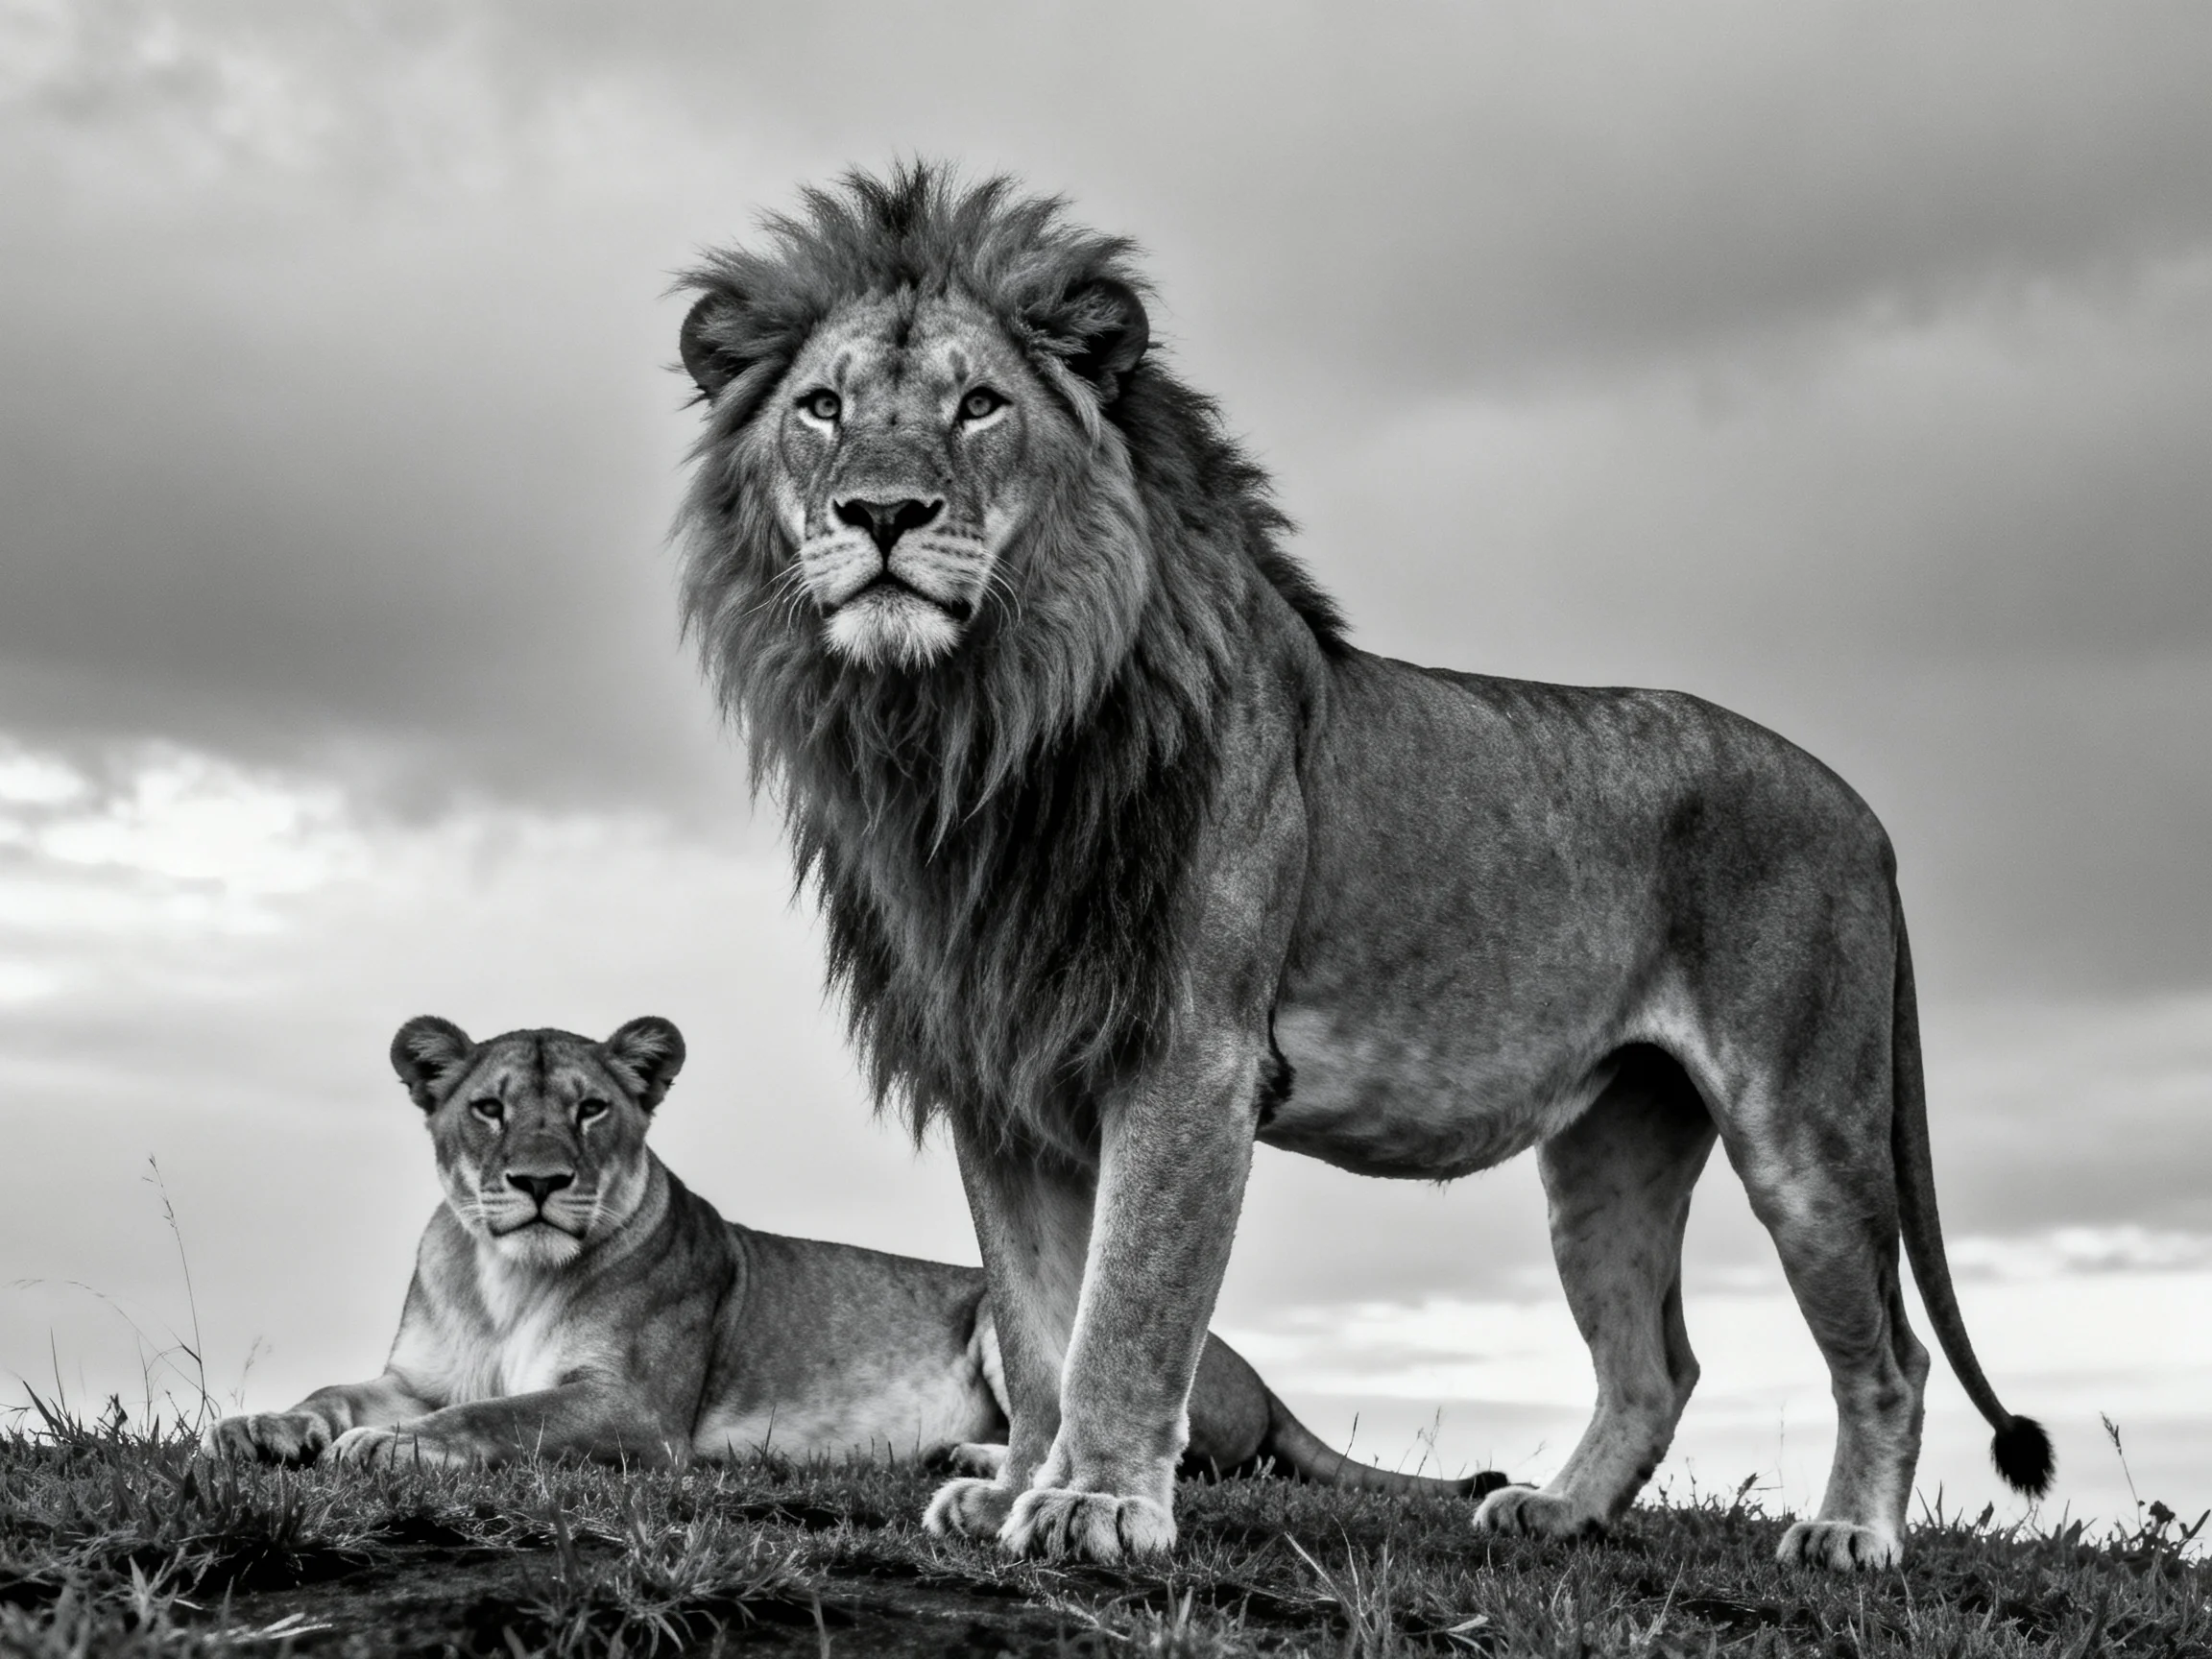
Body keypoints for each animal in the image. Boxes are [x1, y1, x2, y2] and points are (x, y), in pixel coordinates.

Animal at [203, 1015, 1503, 1499]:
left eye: (588, 1110)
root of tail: (1265, 1380)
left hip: (999, 1311)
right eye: (486, 1107)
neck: (504, 1273)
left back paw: (971, 1455)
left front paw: (391, 1450)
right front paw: (259, 1426)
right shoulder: (416, 1367)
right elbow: (342, 1389)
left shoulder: (634, 1411)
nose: (533, 1181)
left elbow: (494, 1417)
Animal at [670, 163, 2053, 1570]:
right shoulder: (1004, 1074)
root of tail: (1864, 814)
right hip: (1612, 1146)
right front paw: (1015, 1491)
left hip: (1804, 1126)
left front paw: (1097, 1502)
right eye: (823, 408)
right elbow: (1035, 1319)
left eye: (980, 403)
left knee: (1889, 1354)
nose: (883, 514)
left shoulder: (1190, 1054)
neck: (974, 725)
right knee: (1657, 1367)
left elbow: (1125, 1307)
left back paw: (1850, 1536)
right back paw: (1553, 1512)